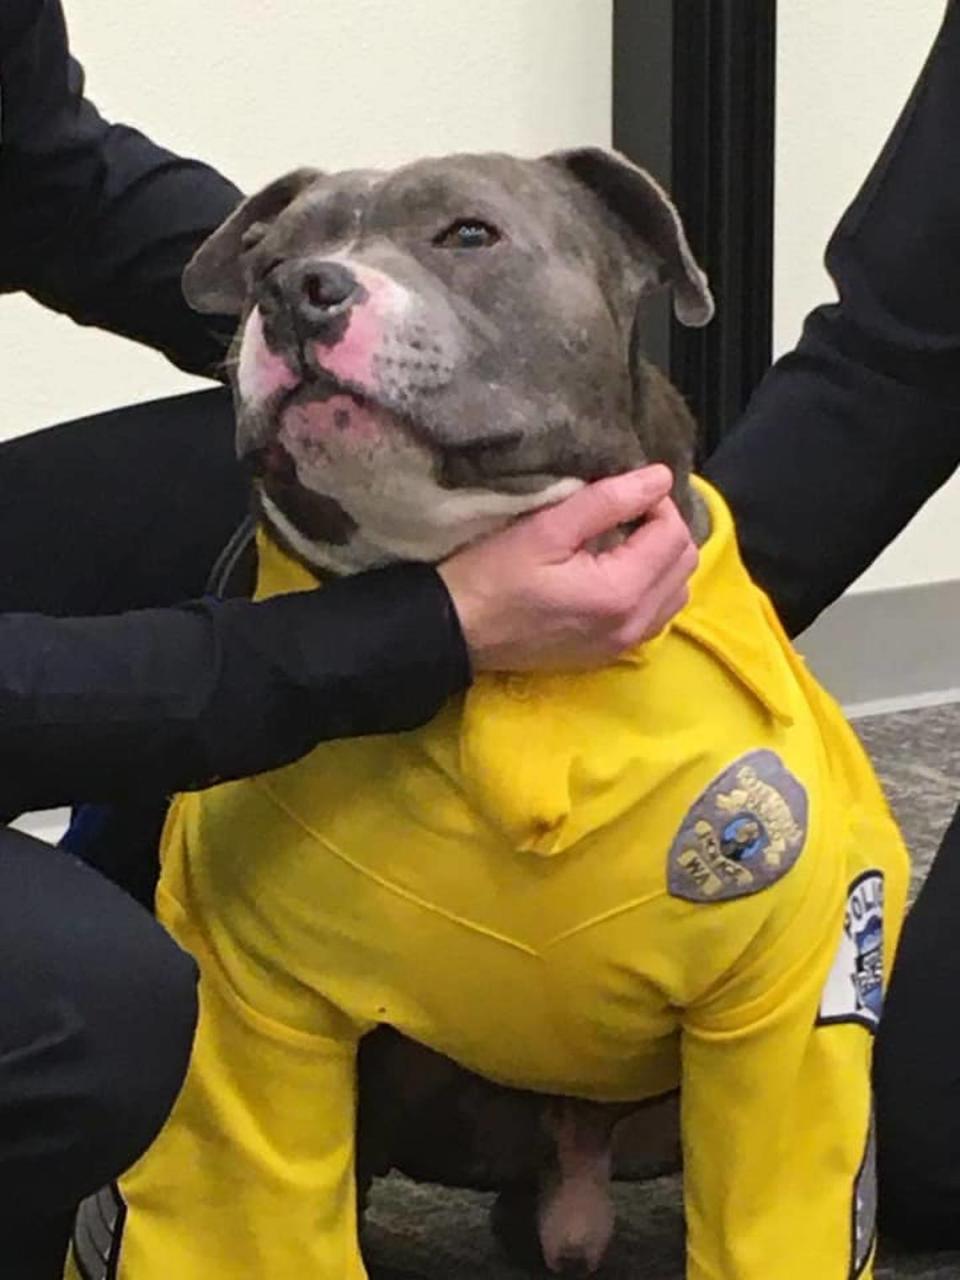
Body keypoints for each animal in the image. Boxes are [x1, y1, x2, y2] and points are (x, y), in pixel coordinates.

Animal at [67, 152, 911, 1280]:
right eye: (269, 258)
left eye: (469, 234)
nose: (296, 293)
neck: (512, 672)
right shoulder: (251, 1021)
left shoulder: (786, 1015)